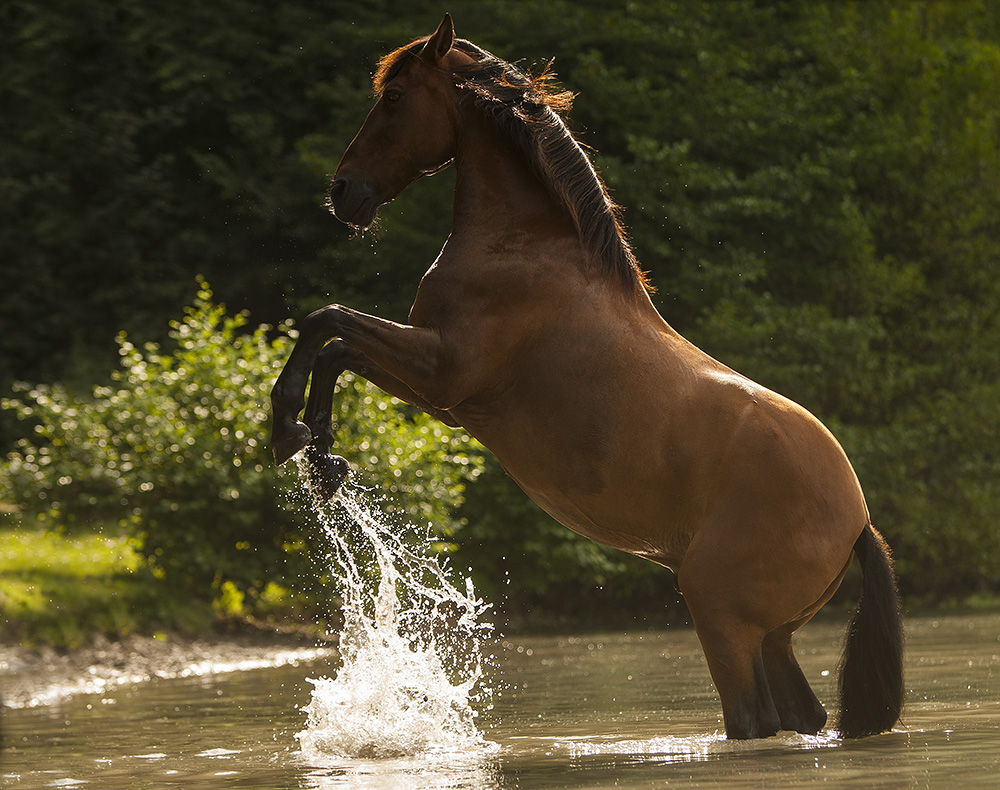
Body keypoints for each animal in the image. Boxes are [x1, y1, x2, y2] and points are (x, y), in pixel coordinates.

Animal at [268, 13, 908, 744]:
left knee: (753, 721)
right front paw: (321, 456)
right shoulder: (438, 391)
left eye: (395, 97)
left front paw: (291, 430)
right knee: (801, 716)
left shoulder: (443, 374)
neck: (526, 246)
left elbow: (327, 326)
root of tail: (859, 521)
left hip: (722, 619)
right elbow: (334, 342)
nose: (342, 192)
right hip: (770, 637)